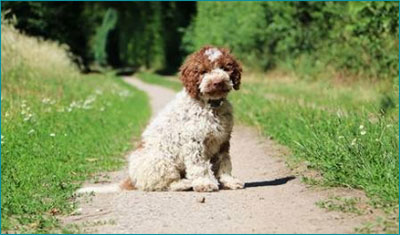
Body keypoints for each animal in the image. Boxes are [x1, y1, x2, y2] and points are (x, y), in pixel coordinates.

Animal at [77, 45, 242, 194]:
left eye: (225, 68)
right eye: (203, 71)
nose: (218, 82)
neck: (211, 106)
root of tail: (131, 179)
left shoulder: (223, 141)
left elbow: (225, 163)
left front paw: (230, 181)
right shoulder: (194, 142)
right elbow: (199, 166)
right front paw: (204, 183)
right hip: (162, 161)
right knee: (162, 184)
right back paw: (184, 184)